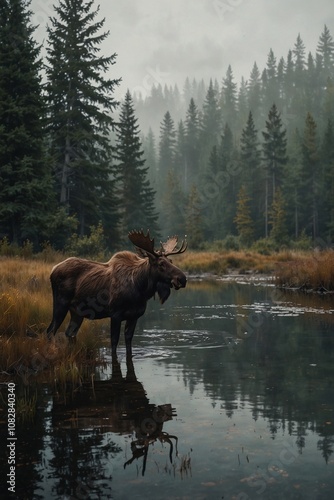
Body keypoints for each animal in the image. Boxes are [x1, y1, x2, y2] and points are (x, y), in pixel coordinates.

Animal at [47, 230, 188, 356]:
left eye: (171, 261)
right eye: (161, 264)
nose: (182, 279)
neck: (141, 289)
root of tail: (52, 270)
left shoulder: (135, 316)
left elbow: (128, 342)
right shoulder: (115, 314)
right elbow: (114, 342)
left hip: (77, 312)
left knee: (69, 333)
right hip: (61, 304)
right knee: (50, 331)